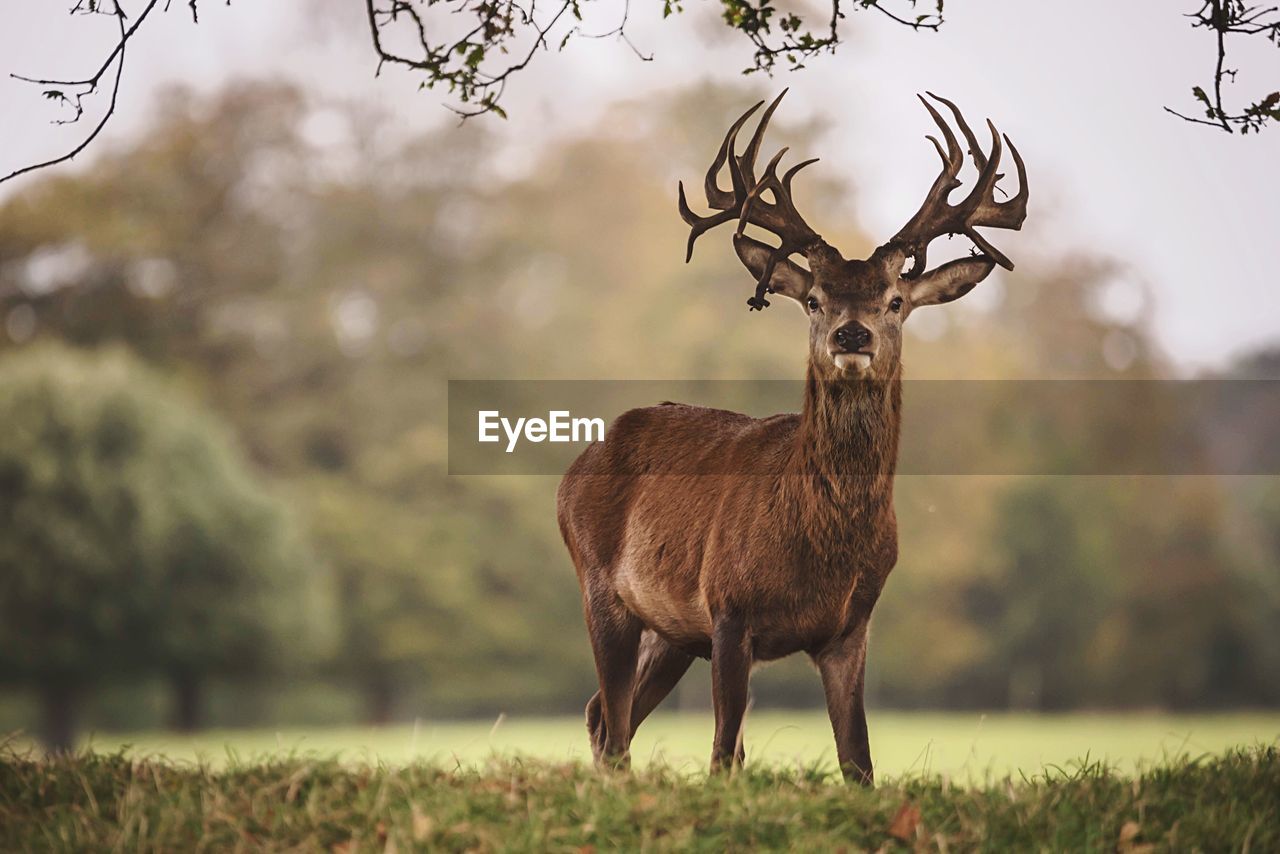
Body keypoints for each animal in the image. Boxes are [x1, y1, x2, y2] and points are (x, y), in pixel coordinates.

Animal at [555, 90, 1024, 783]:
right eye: (815, 300)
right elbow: (725, 753)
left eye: (895, 300)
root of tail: (578, 464)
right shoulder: (729, 608)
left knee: (602, 715)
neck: (820, 547)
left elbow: (858, 762)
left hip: (671, 632)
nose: (852, 335)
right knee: (611, 725)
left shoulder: (851, 627)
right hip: (602, 588)